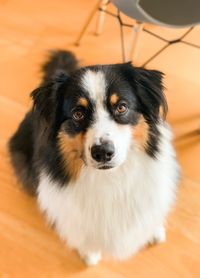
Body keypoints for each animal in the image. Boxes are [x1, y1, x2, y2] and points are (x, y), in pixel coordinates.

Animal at [8, 51, 180, 266]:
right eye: (78, 113)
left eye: (121, 107)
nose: (102, 153)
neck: (112, 179)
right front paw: (89, 254)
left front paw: (154, 231)